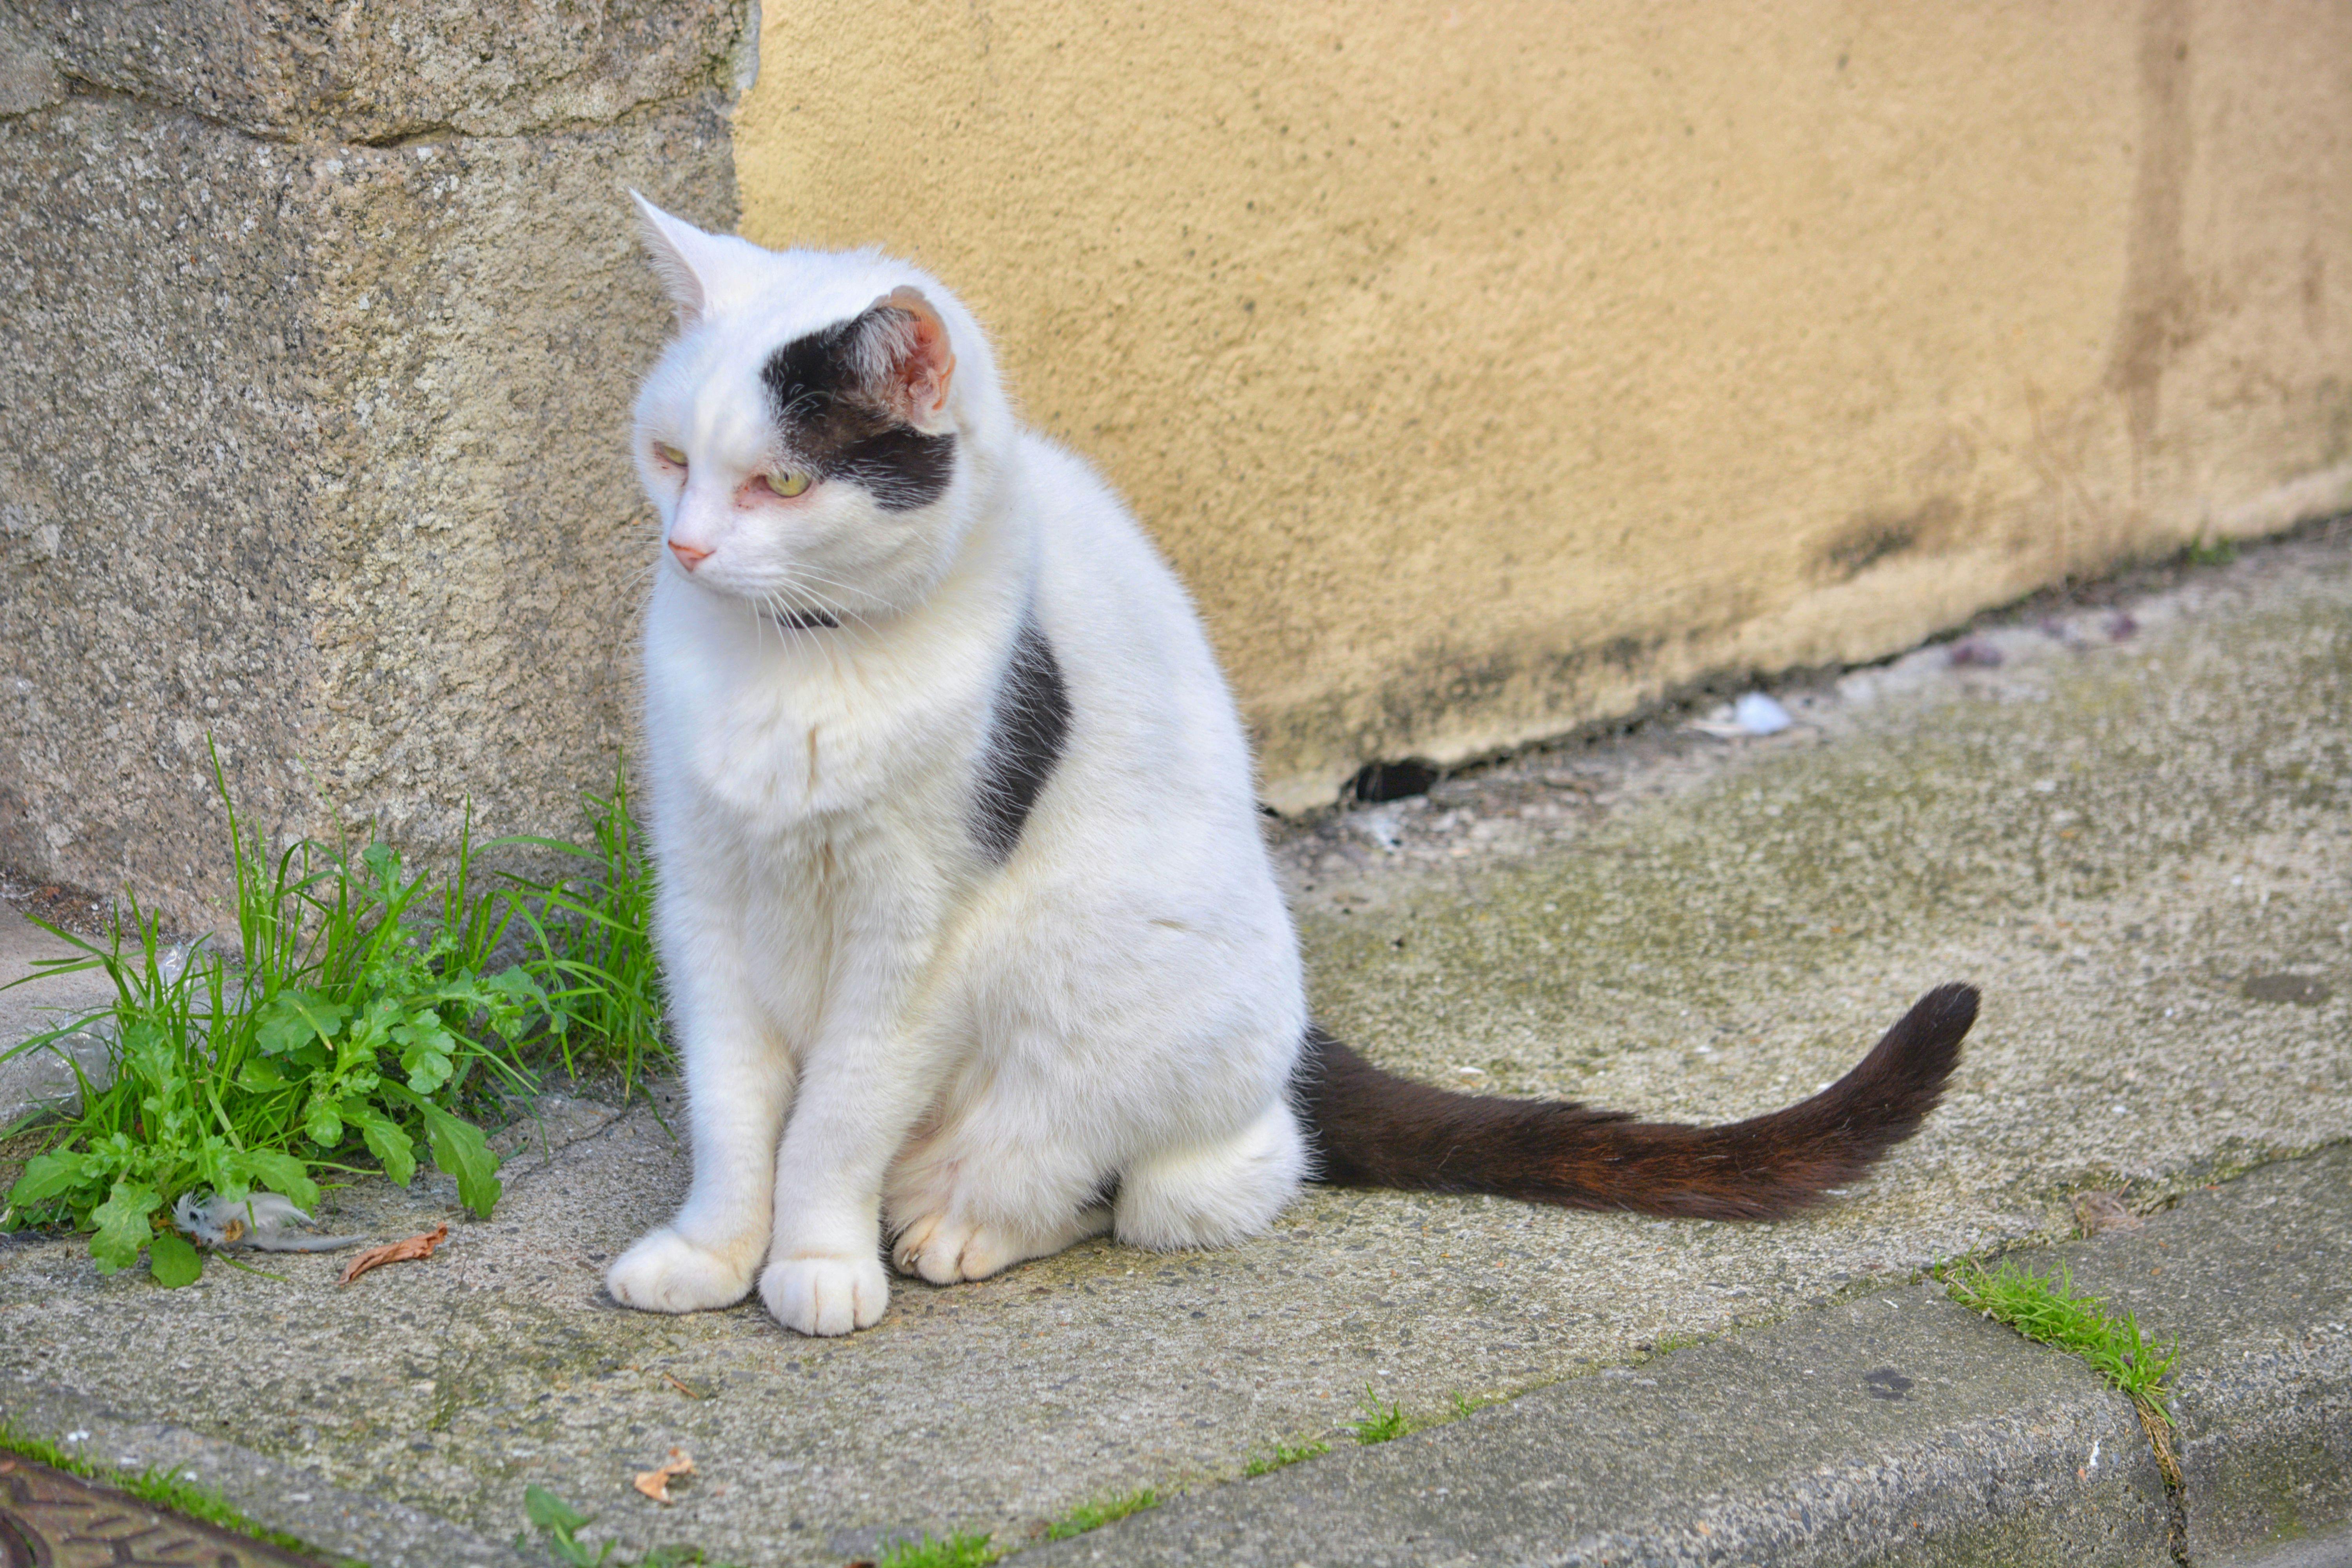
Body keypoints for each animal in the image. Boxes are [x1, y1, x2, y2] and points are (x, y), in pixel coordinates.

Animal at [597, 200, 1976, 1335]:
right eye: (671, 459)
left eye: (782, 480)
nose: (688, 548)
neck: (793, 670)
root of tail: (1302, 1037)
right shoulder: (700, 890)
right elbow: (734, 1101)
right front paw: (714, 1251)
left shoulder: (915, 928)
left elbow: (836, 1112)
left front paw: (815, 1262)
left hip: (1109, 991)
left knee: (1171, 1179)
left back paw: (966, 1226)